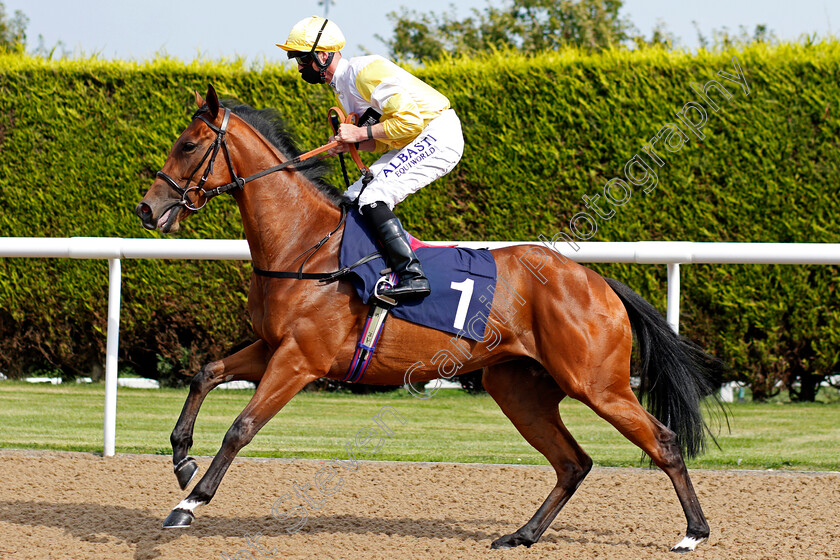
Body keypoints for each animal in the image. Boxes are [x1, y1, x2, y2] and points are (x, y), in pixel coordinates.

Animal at [136, 86, 720, 552]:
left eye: (189, 145)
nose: (147, 208)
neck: (306, 245)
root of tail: (595, 280)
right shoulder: (271, 346)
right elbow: (206, 372)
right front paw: (182, 459)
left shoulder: (300, 360)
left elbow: (241, 427)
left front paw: (190, 502)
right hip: (519, 388)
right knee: (573, 461)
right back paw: (522, 534)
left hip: (597, 383)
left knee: (663, 442)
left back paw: (693, 533)